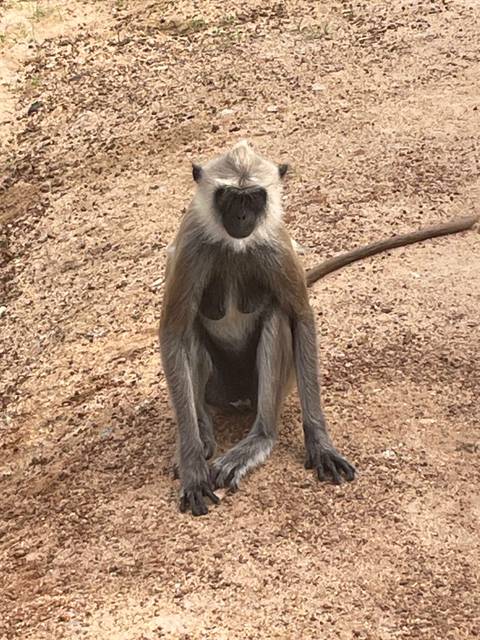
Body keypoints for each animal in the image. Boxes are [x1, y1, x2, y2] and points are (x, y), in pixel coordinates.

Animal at [159, 140, 479, 516]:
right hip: (219, 388)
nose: (241, 218)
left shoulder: (276, 244)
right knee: (191, 332)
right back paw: (204, 434)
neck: (233, 245)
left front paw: (321, 444)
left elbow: (300, 317)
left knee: (276, 317)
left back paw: (260, 437)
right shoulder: (192, 244)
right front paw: (193, 467)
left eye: (254, 198)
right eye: (229, 198)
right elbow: (173, 333)